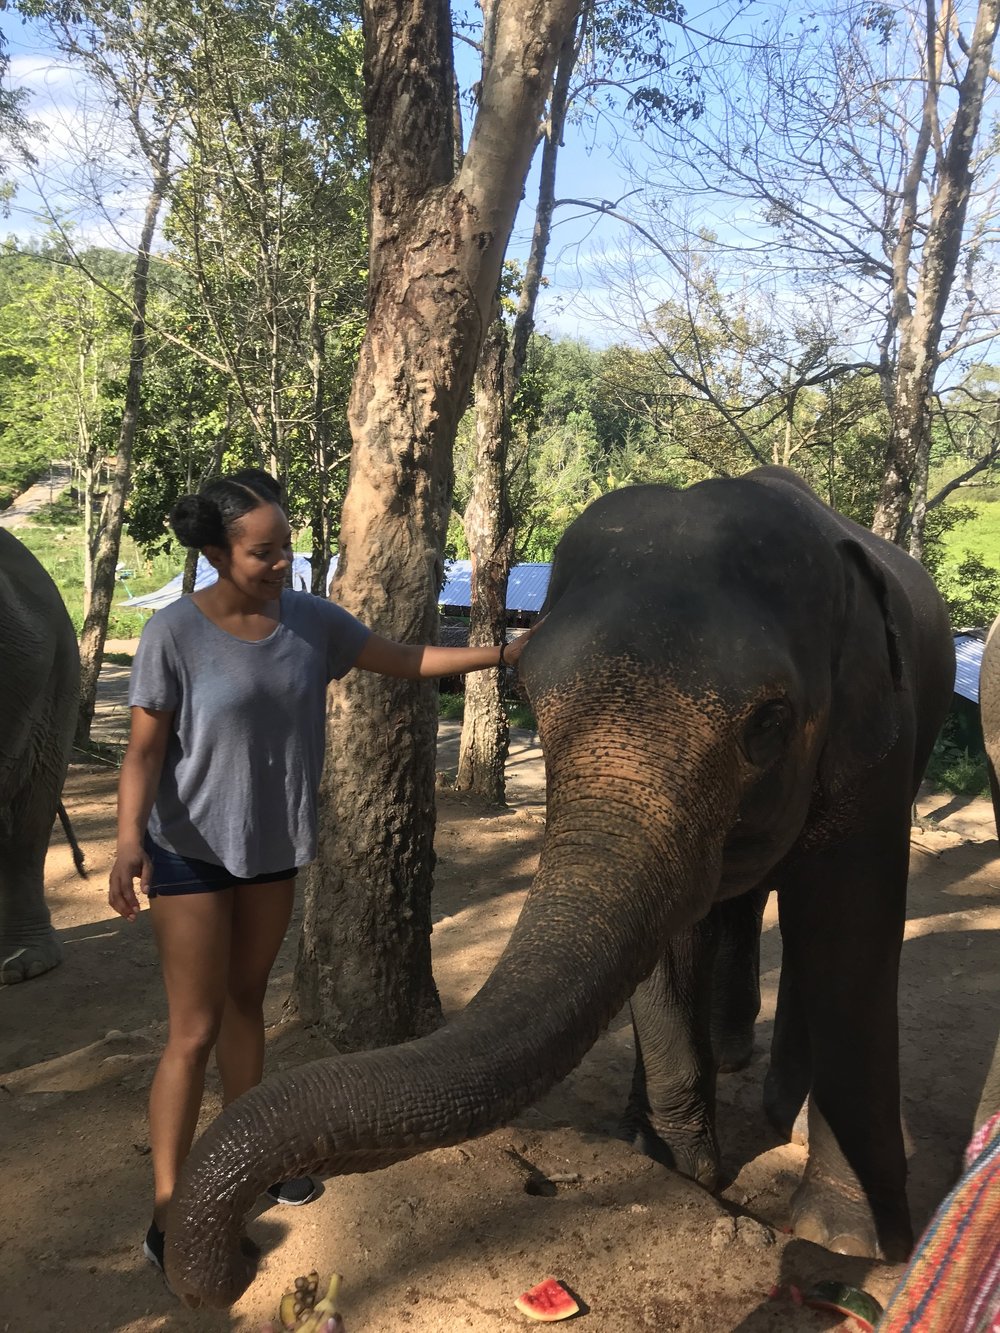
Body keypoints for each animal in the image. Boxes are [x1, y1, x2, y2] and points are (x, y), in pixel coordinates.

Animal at [162, 466, 954, 1301]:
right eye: (529, 693)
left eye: (770, 722)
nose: (243, 1257)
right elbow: (672, 939)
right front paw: (672, 1166)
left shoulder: (882, 751)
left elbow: (851, 940)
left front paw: (847, 1237)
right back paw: (730, 1070)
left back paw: (780, 1110)